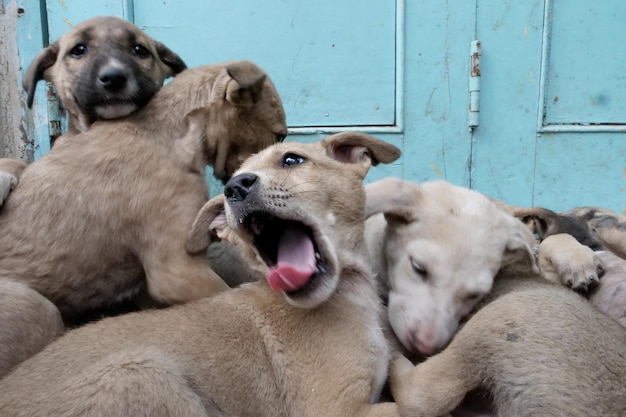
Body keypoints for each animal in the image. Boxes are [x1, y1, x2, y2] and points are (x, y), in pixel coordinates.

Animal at [0, 132, 400, 416]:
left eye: (292, 160)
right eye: (230, 185)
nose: (234, 187)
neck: (350, 290)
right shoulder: (338, 409)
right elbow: (402, 407)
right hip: (141, 373)